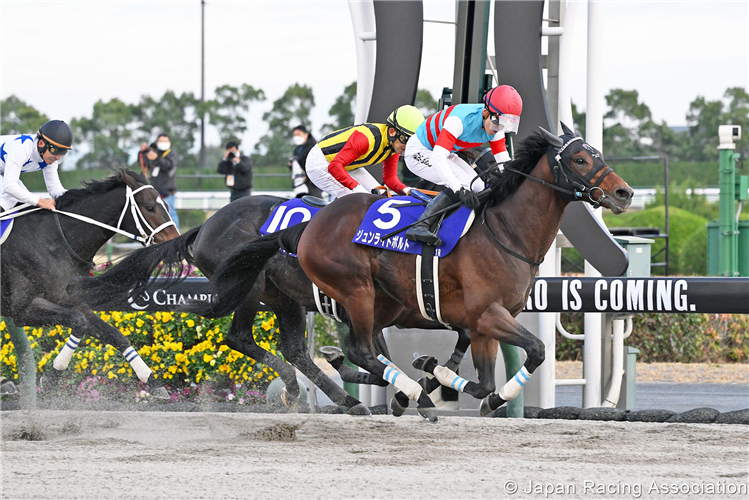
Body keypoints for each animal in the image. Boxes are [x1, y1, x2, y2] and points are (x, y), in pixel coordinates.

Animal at [0, 170, 180, 396]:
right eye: (149, 207)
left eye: (165, 205)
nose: (176, 241)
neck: (54, 241)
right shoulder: (22, 310)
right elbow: (78, 321)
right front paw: (52, 376)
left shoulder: (71, 300)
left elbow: (113, 334)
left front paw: (152, 381)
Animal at [80, 194, 468, 414]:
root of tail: (206, 224)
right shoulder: (377, 310)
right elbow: (371, 354)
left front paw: (430, 382)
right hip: (251, 285)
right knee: (240, 338)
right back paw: (303, 388)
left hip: (284, 298)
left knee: (293, 348)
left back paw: (344, 399)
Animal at [213, 125, 636, 418]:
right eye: (580, 159)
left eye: (596, 154)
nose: (624, 193)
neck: (505, 231)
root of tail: (305, 226)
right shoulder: (487, 314)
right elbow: (537, 349)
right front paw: (433, 378)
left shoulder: (483, 323)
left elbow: (484, 381)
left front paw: (452, 379)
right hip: (351, 291)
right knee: (356, 349)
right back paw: (403, 396)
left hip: (363, 301)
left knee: (338, 350)